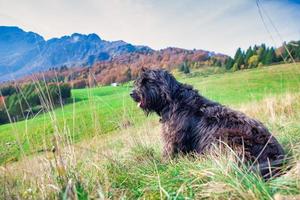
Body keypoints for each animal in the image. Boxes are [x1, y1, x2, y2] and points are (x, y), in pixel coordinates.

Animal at [131, 68, 286, 178]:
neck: (173, 99)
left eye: (148, 81)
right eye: (139, 82)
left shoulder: (173, 138)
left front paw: (161, 166)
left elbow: (169, 153)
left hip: (224, 140)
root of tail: (279, 158)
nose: (132, 94)